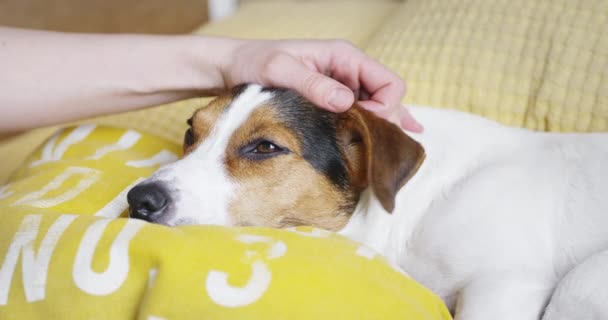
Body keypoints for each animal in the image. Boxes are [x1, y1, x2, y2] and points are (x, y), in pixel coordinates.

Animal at [127, 84, 608, 318]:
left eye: (264, 147)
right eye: (191, 131)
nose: (139, 199)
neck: (413, 206)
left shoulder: (507, 285)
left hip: (581, 283)